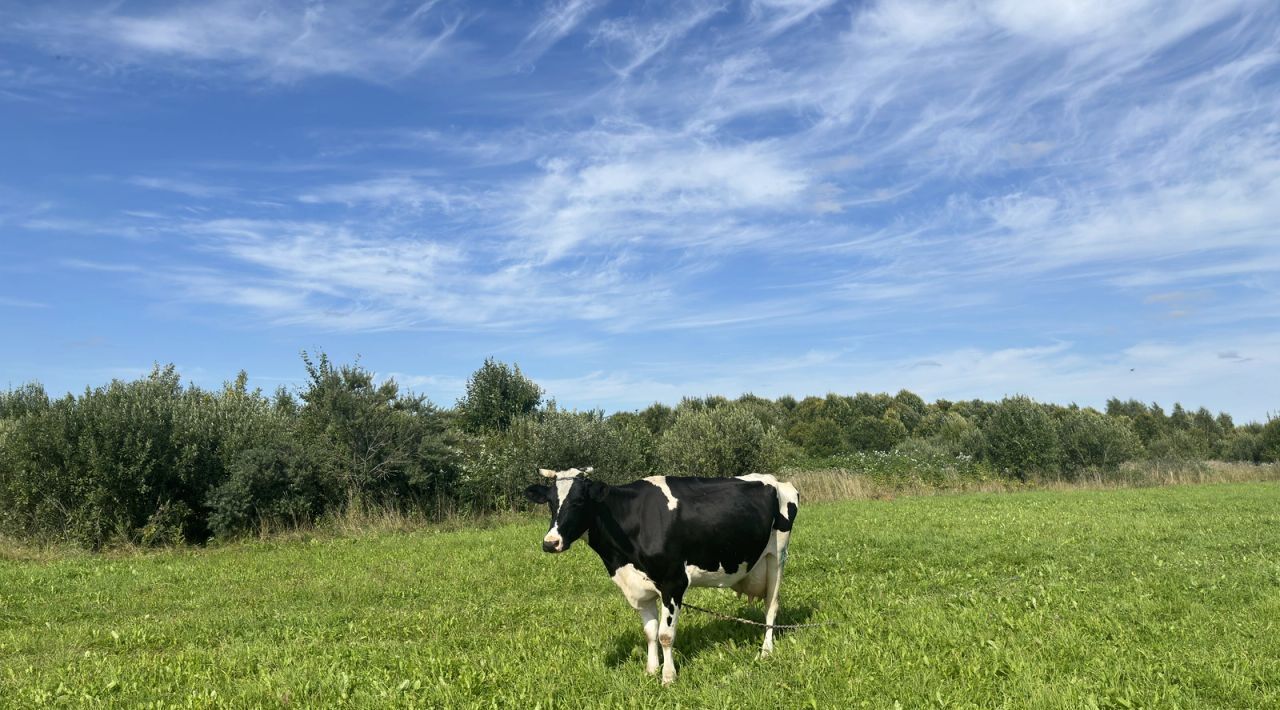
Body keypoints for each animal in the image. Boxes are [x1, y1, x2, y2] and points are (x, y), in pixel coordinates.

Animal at [522, 465, 798, 685]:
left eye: (579, 501)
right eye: (551, 502)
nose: (550, 543)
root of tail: (776, 480)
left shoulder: (674, 582)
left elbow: (665, 635)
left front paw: (668, 677)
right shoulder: (639, 589)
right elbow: (650, 632)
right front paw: (651, 670)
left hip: (777, 557)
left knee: (771, 607)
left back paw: (766, 651)